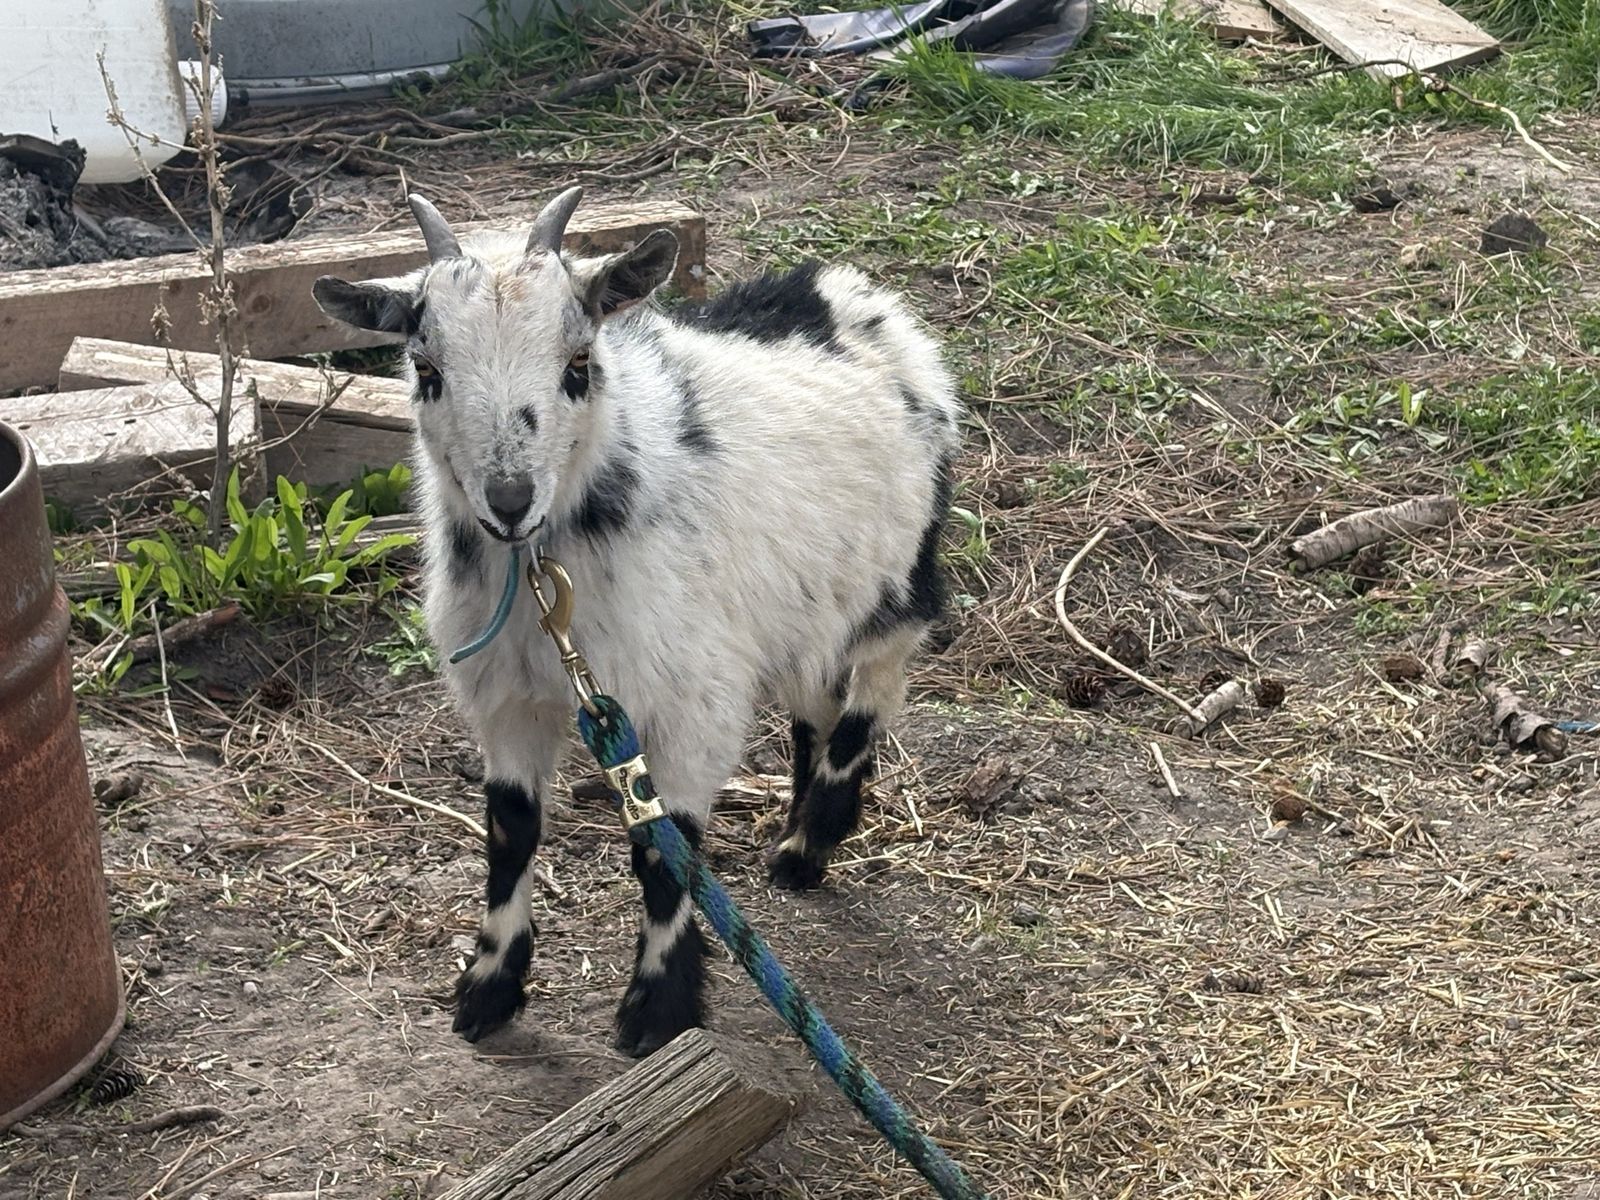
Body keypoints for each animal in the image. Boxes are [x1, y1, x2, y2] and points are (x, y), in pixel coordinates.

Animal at [311, 187, 961, 1057]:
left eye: (578, 365)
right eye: (427, 370)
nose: (509, 501)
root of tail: (844, 291)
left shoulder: (691, 701)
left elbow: (666, 847)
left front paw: (658, 1008)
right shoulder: (507, 698)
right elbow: (511, 829)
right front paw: (488, 989)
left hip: (897, 572)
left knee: (876, 686)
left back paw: (813, 837)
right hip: (798, 604)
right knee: (815, 703)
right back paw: (798, 838)